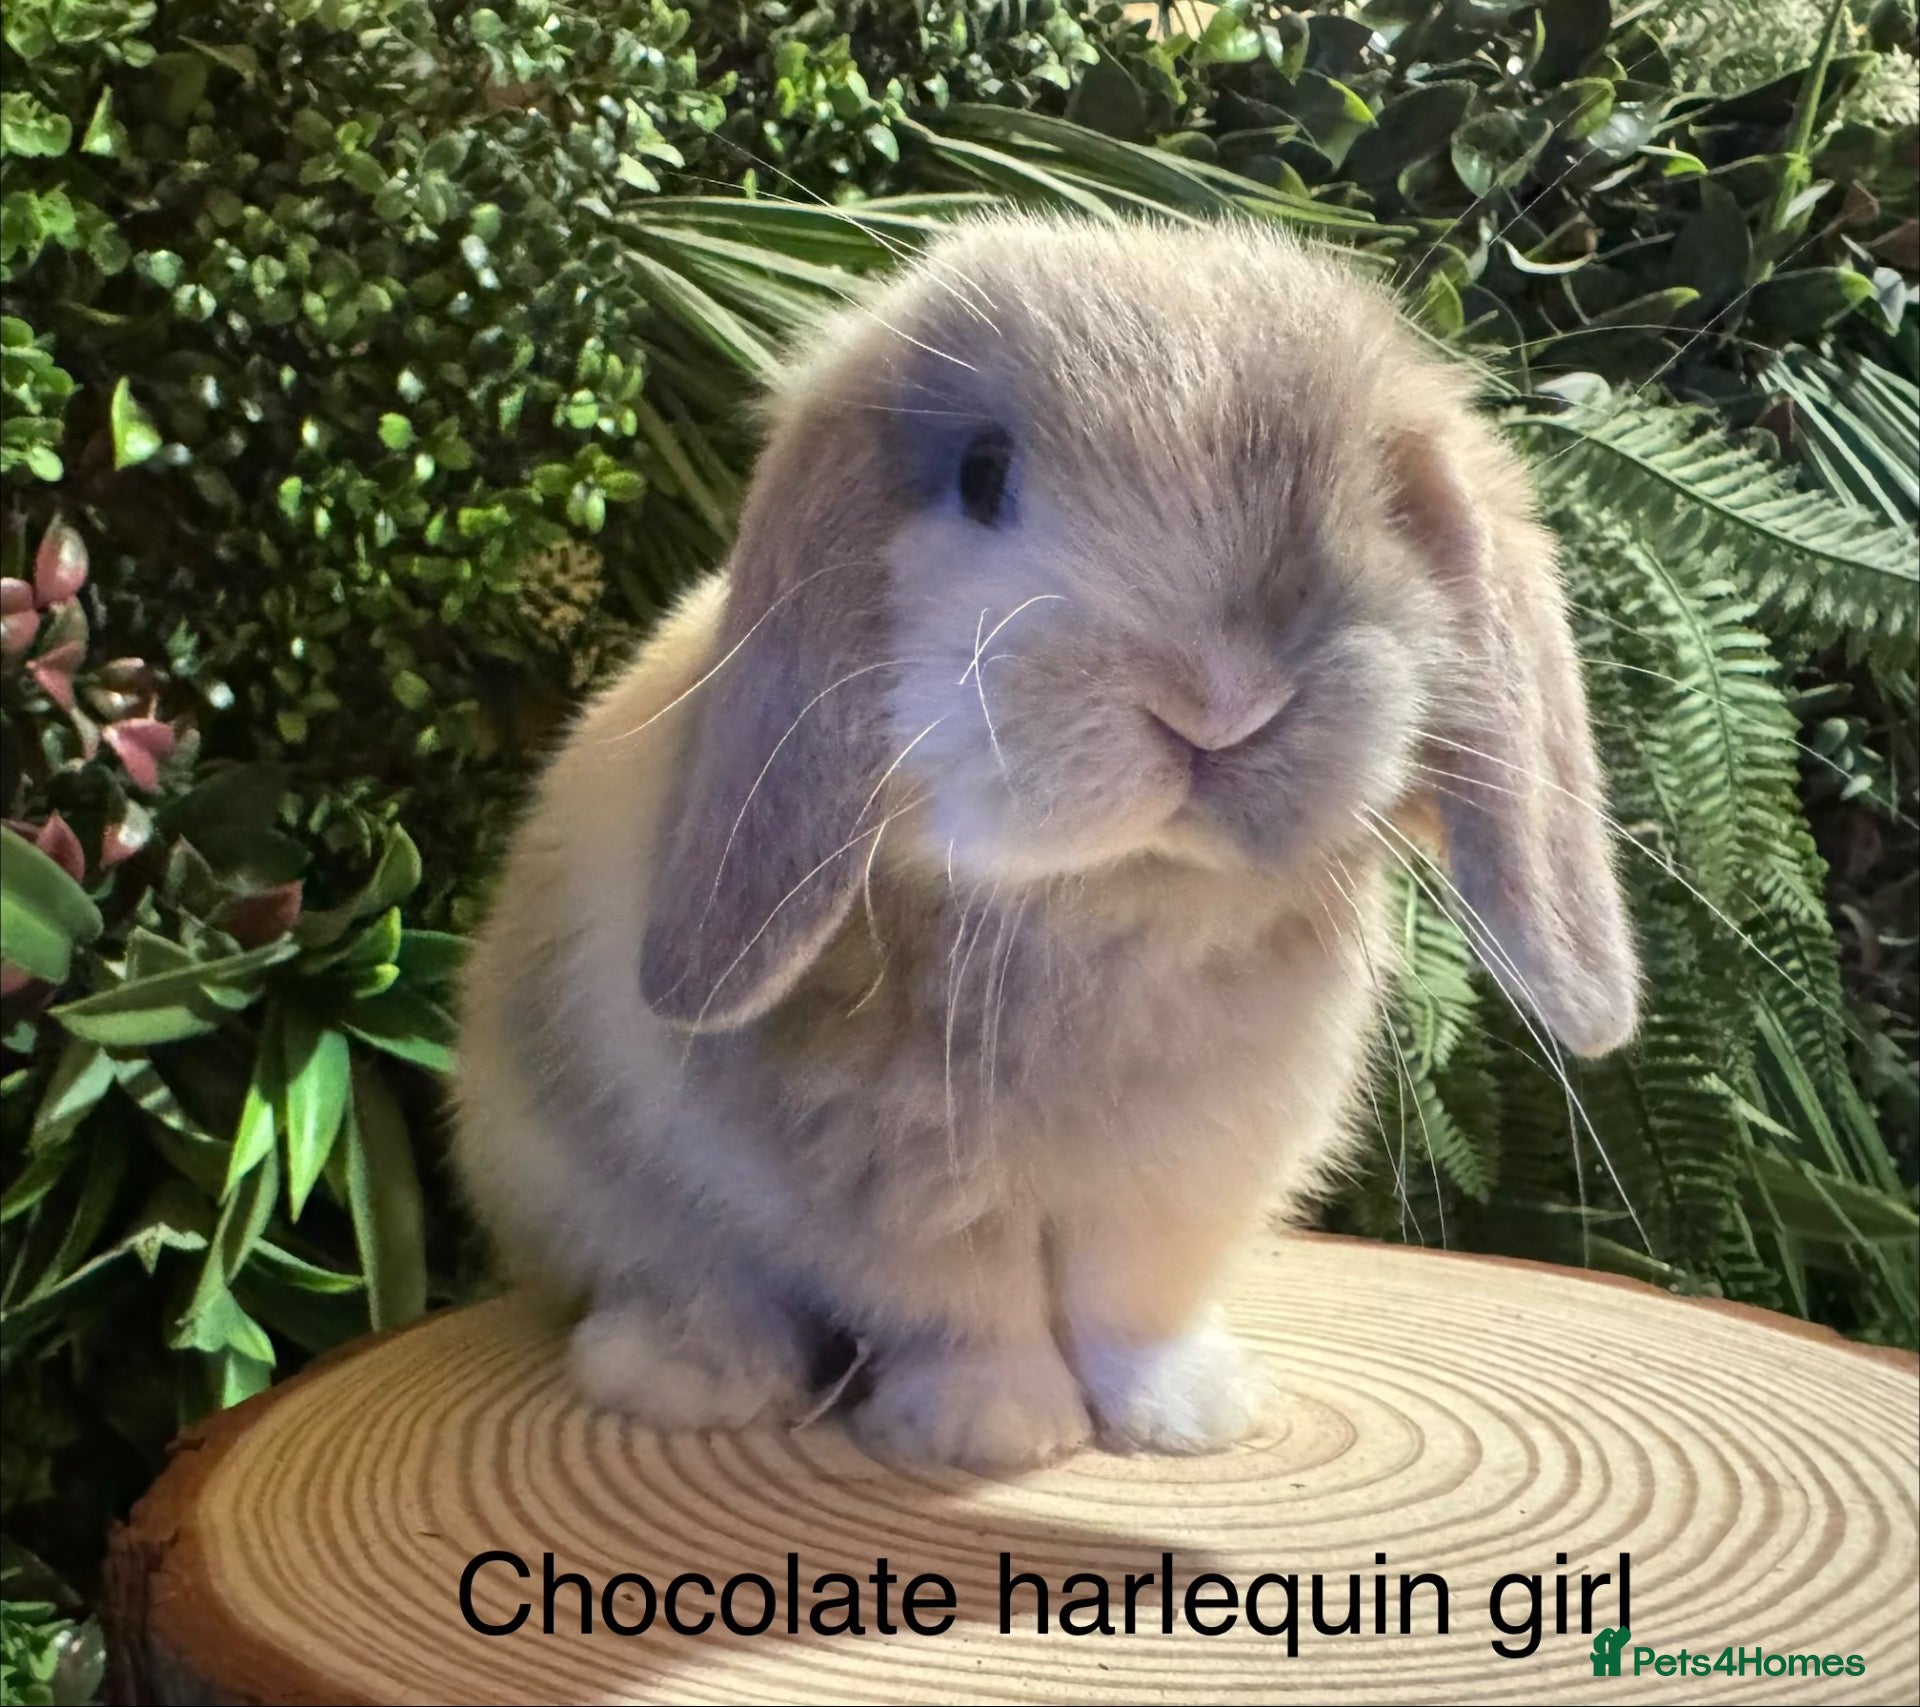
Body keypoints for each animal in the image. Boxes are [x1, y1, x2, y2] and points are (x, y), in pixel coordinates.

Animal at [450, 211, 1640, 1473]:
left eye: (1379, 501)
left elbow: (1131, 1303)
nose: (1219, 700)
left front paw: (1186, 1417)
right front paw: (996, 1432)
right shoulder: (896, 1186)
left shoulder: (1184, 1181)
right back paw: (686, 1374)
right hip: (576, 1174)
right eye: (984, 475)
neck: (1118, 907)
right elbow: (970, 1304)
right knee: (687, 1276)